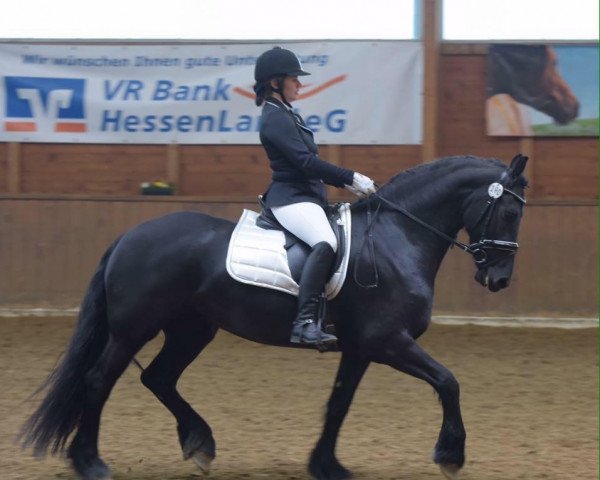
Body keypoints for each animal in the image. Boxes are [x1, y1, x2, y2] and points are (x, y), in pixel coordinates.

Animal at [18, 154, 528, 480]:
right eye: (507, 210)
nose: (500, 279)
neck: (396, 239)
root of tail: (129, 236)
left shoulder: (361, 348)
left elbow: (339, 403)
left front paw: (326, 466)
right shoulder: (390, 340)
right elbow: (448, 381)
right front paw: (451, 454)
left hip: (191, 329)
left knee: (158, 378)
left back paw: (199, 444)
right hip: (133, 329)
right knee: (98, 381)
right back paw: (90, 463)